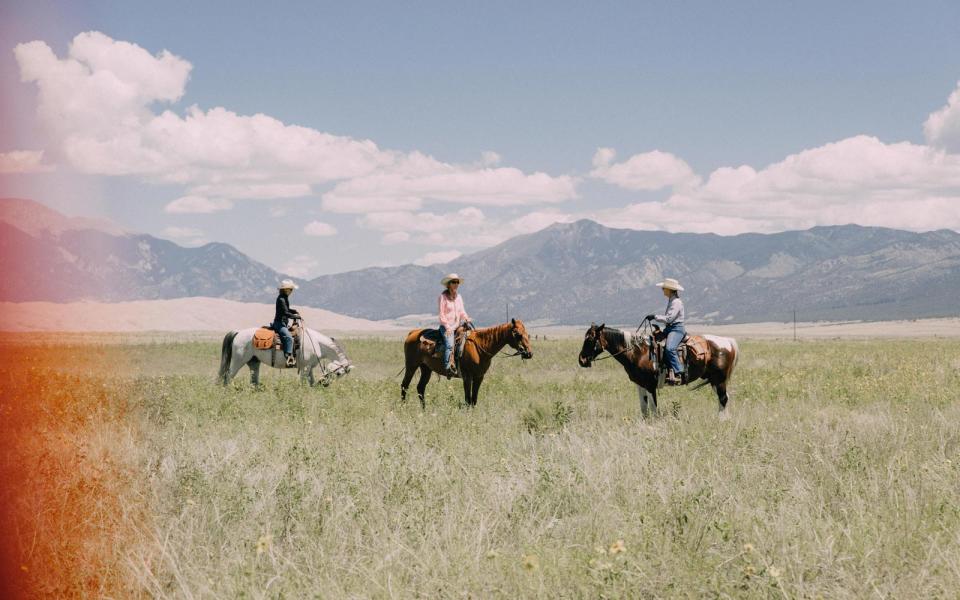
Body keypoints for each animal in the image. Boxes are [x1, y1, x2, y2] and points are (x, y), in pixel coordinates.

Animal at [218, 326, 352, 386]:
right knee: (228, 376)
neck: (316, 342)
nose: (325, 384)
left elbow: (311, 381)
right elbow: (304, 382)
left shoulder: (309, 367)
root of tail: (238, 332)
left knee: (253, 381)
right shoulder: (305, 367)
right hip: (238, 361)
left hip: (254, 362)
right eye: (339, 373)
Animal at [398, 318, 532, 408]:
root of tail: (412, 333)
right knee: (405, 385)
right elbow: (468, 399)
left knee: (420, 388)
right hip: (411, 365)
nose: (529, 353)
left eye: (528, 334)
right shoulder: (467, 377)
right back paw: (403, 407)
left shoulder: (479, 377)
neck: (480, 347)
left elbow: (474, 399)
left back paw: (424, 409)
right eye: (518, 334)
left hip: (426, 368)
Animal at [576, 324, 744, 418]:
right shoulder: (640, 385)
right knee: (723, 399)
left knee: (723, 399)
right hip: (715, 381)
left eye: (590, 339)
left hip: (719, 380)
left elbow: (653, 407)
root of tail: (728, 341)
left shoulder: (650, 385)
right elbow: (644, 407)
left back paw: (721, 420)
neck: (638, 352)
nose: (582, 360)